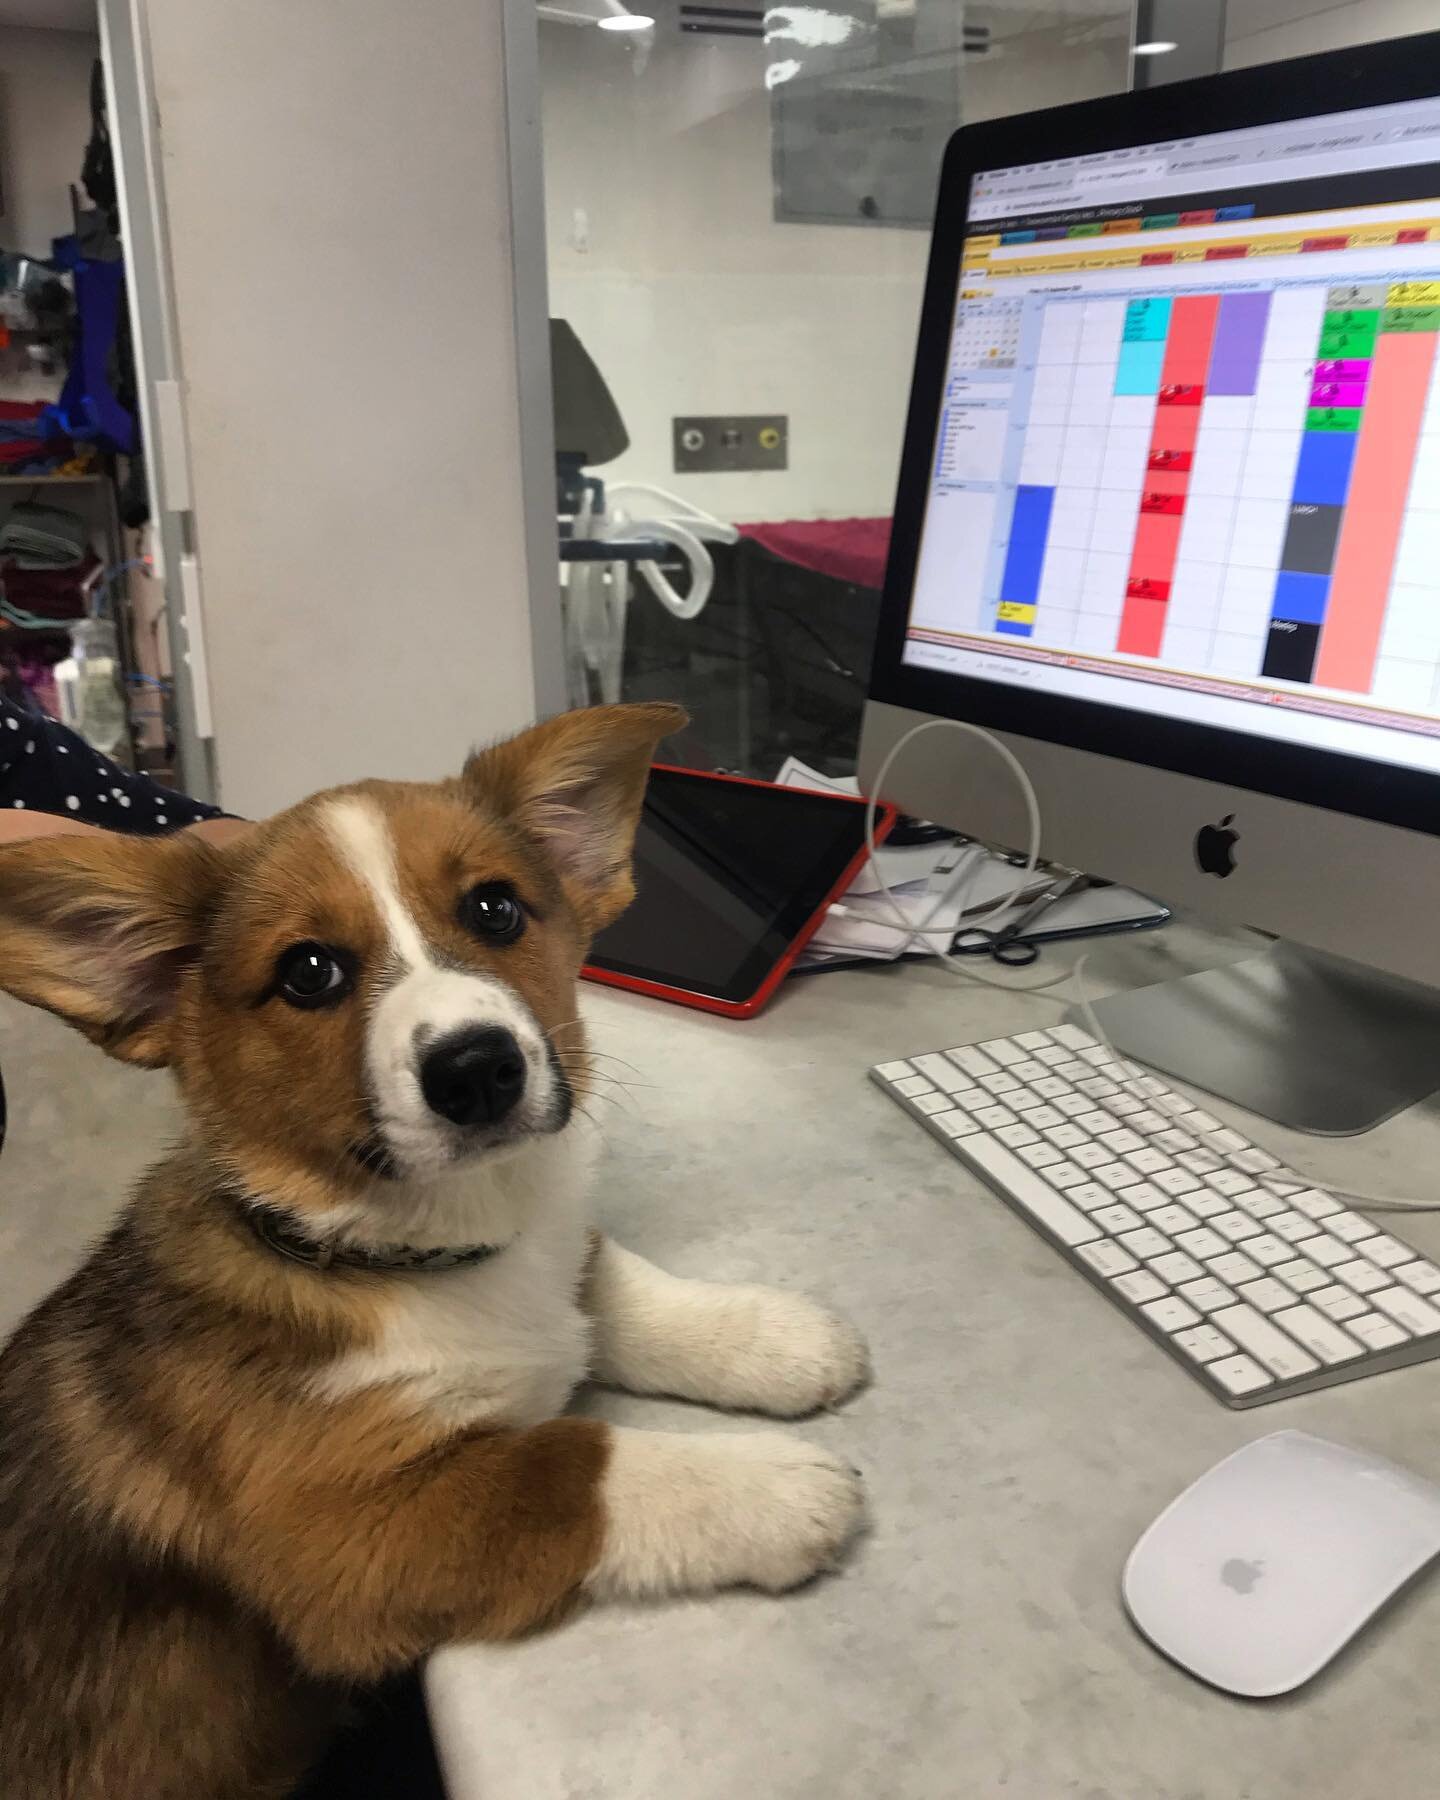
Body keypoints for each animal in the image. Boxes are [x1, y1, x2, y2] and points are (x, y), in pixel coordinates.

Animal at [0, 702, 867, 1800]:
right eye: (309, 972)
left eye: (496, 910)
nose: (478, 1070)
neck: (418, 1254)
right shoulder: (353, 1539)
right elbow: (574, 1464)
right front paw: (770, 1488)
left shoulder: (555, 1272)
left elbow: (615, 1288)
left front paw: (774, 1338)